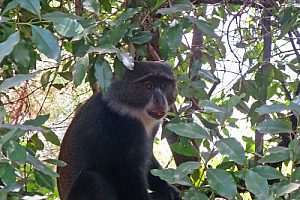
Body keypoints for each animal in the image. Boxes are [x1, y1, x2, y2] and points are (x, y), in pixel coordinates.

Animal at [56, 61, 180, 200]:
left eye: (163, 85)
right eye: (148, 86)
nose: (160, 100)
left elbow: (149, 160)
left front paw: (167, 188)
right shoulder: (123, 126)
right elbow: (126, 171)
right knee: (92, 179)